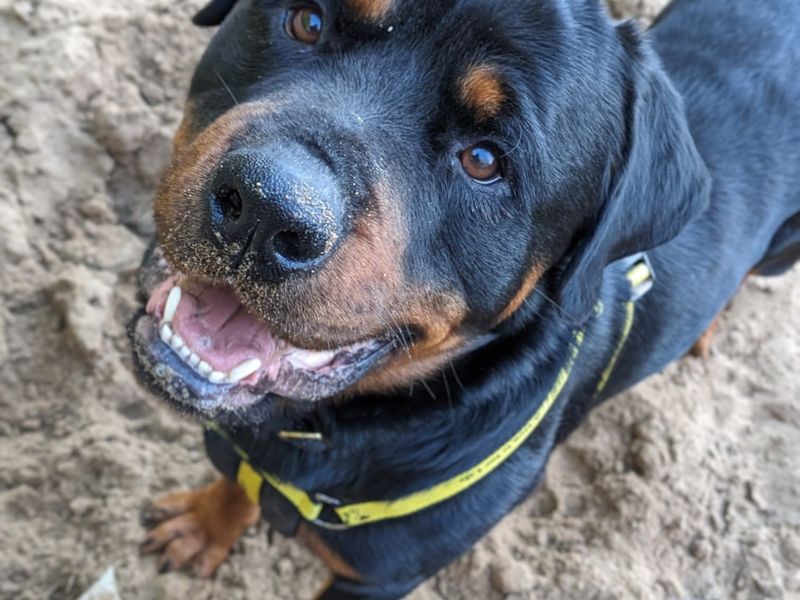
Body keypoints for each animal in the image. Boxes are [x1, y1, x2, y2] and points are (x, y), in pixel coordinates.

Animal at [131, 0, 800, 596]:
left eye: (484, 160)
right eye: (308, 20)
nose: (266, 208)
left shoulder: (377, 578)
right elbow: (235, 481)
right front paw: (204, 524)